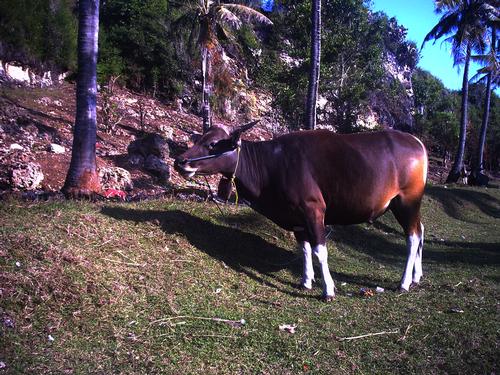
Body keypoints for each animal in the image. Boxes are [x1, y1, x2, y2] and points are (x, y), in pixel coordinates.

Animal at [175, 122, 426, 302]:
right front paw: (306, 281)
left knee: (412, 237)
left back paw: (404, 283)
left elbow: (319, 251)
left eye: (213, 143)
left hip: (406, 201)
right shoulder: (296, 218)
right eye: (199, 139)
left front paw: (328, 290)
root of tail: (416, 142)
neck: (271, 164)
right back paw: (416, 277)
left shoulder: (313, 210)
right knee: (421, 230)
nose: (180, 161)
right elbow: (304, 249)